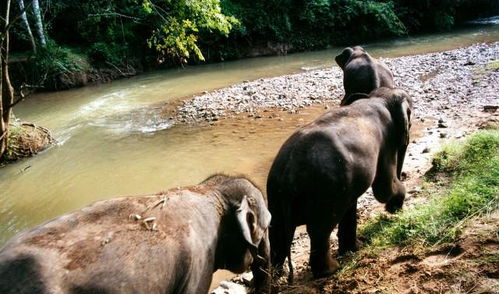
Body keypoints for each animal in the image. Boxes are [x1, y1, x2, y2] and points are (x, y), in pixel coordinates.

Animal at [270, 88, 414, 280]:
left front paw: (352, 250)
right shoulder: (387, 143)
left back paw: (274, 276)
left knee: (277, 231)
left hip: (279, 192)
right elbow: (383, 188)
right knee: (319, 230)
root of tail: (289, 173)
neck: (377, 98)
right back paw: (331, 270)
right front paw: (396, 205)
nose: (403, 174)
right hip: (325, 190)